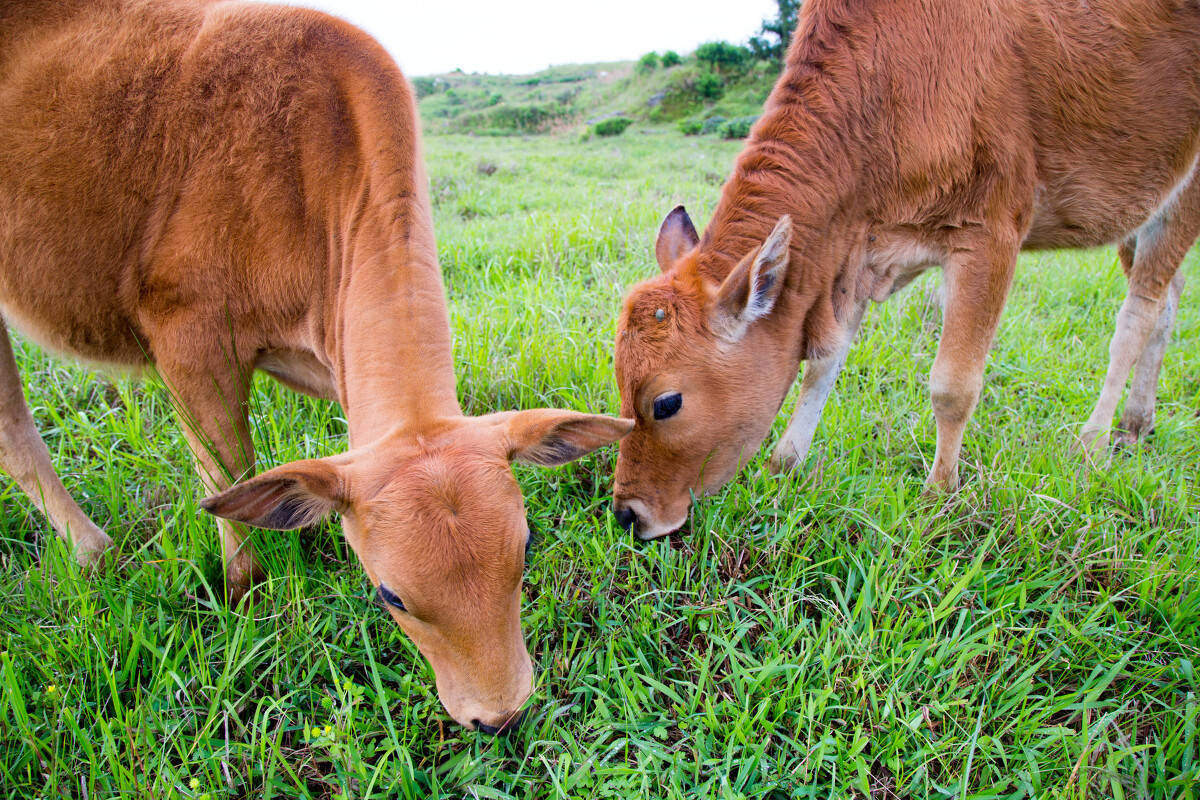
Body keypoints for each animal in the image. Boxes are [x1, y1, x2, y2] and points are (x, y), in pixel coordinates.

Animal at [0, 0, 633, 734]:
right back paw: (95, 552)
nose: (500, 717)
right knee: (15, 432)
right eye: (390, 594)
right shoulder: (189, 339)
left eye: (526, 551)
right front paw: (245, 600)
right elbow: (230, 488)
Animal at [614, 0, 1195, 542]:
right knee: (1168, 305)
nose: (627, 514)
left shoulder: (990, 234)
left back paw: (1093, 438)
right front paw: (785, 465)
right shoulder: (856, 253)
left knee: (1139, 315)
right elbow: (822, 365)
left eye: (667, 403)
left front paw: (940, 492)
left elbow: (953, 385)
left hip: (1180, 196)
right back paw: (1136, 423)